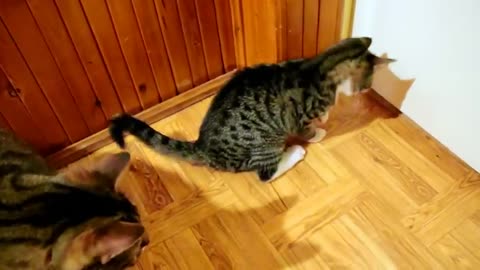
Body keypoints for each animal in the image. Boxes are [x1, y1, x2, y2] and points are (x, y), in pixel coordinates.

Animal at [110, 37, 396, 182]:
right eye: (368, 82)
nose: (366, 91)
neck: (319, 67)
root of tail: (202, 146)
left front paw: (324, 117)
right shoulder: (297, 118)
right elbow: (306, 129)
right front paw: (317, 132)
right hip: (266, 142)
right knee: (266, 174)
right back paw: (294, 152)